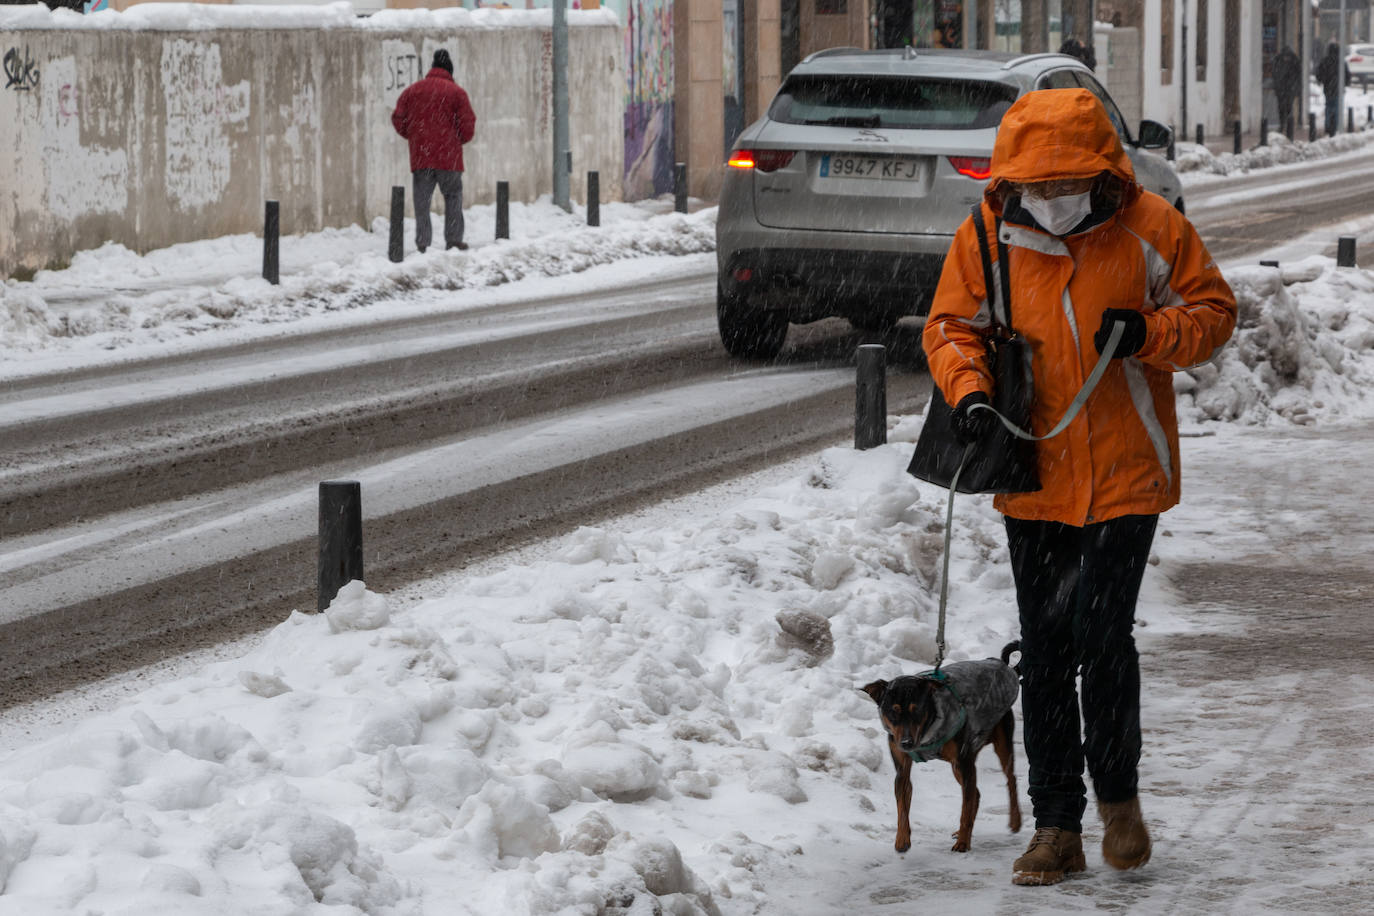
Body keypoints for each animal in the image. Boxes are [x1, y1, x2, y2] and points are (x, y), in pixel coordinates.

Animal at [857, 642, 1022, 856]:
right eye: (893, 711)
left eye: (917, 710)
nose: (907, 743)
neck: (925, 735)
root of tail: (1005, 666)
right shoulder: (902, 767)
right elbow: (902, 804)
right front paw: (902, 840)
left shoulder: (964, 760)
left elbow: (965, 807)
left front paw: (963, 843)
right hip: (959, 762)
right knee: (975, 793)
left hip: (998, 738)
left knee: (1009, 779)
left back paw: (1015, 821)